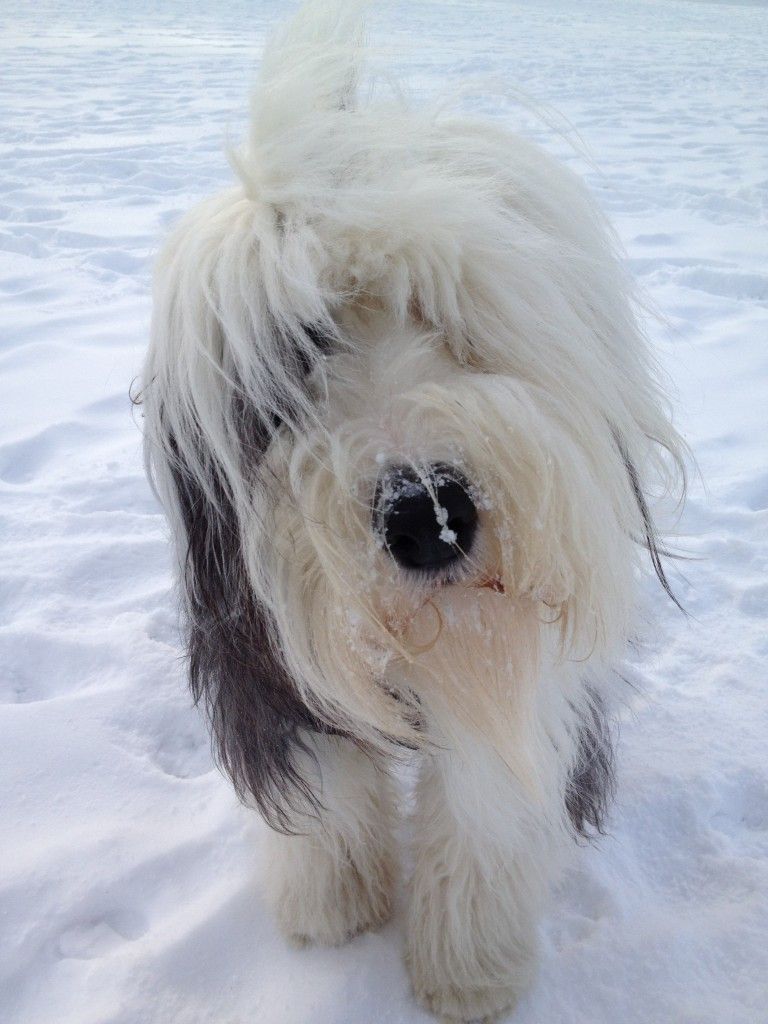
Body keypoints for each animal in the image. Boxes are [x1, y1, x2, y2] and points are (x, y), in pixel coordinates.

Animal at [141, 4, 688, 1019]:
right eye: (297, 356)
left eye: (442, 315)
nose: (428, 517)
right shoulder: (261, 649)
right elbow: (324, 783)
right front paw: (331, 908)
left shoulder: (520, 666)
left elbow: (482, 812)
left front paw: (468, 970)